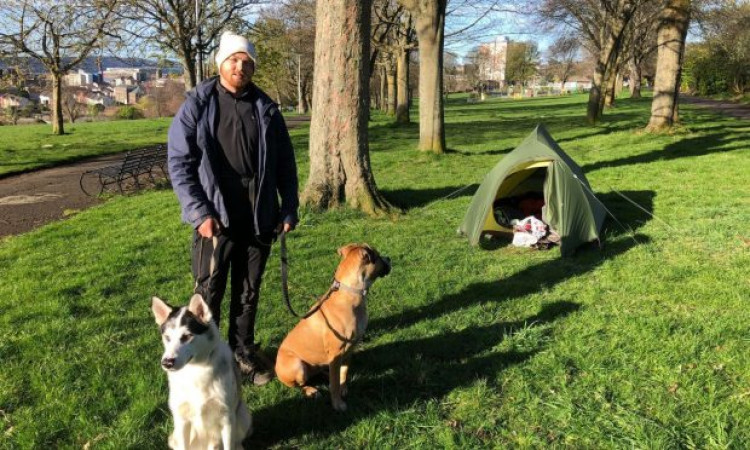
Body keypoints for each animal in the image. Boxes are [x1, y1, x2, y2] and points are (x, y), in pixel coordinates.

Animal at [151, 294, 254, 448]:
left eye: (186, 336)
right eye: (167, 337)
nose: (167, 363)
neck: (196, 370)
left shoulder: (227, 419)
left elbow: (229, 445)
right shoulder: (181, 420)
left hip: (242, 416)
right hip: (174, 436)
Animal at [276, 243, 394, 412]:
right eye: (377, 256)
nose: (389, 258)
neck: (351, 293)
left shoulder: (349, 349)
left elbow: (343, 373)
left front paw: (342, 387)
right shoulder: (336, 352)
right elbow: (335, 383)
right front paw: (337, 403)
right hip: (297, 366)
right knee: (299, 384)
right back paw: (310, 390)